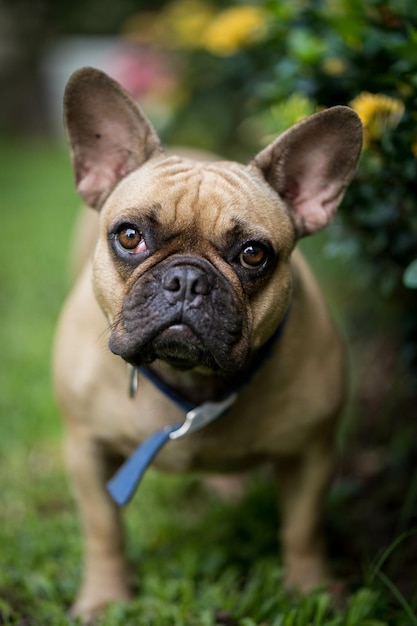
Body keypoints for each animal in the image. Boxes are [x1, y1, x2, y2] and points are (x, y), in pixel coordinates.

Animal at [54, 66, 360, 616]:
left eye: (254, 254)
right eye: (129, 236)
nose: (187, 280)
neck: (191, 385)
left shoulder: (313, 453)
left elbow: (304, 531)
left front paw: (313, 592)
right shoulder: (86, 450)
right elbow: (103, 529)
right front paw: (104, 599)